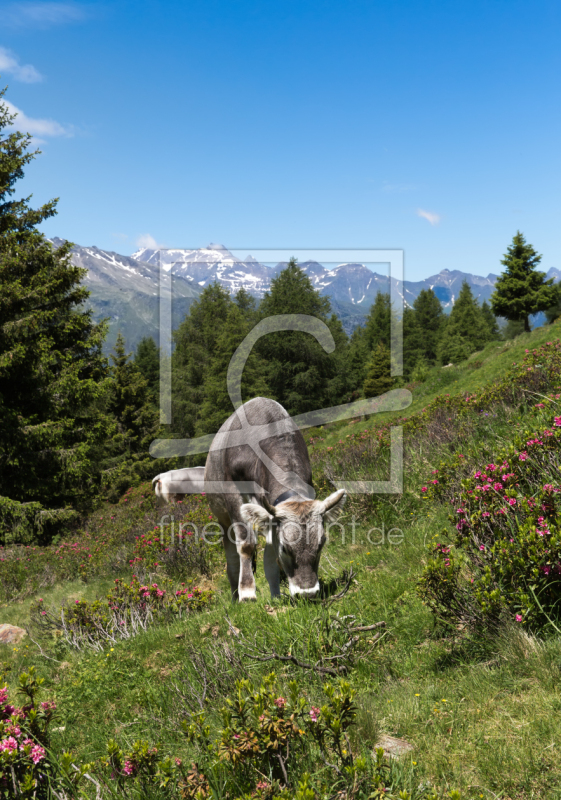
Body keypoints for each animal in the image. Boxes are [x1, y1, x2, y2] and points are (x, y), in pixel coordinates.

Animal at [205, 396, 346, 596]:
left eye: (320, 544)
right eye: (285, 548)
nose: (308, 593)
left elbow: (270, 556)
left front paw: (276, 596)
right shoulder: (233, 492)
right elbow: (246, 545)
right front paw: (247, 592)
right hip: (222, 518)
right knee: (231, 557)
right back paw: (235, 594)